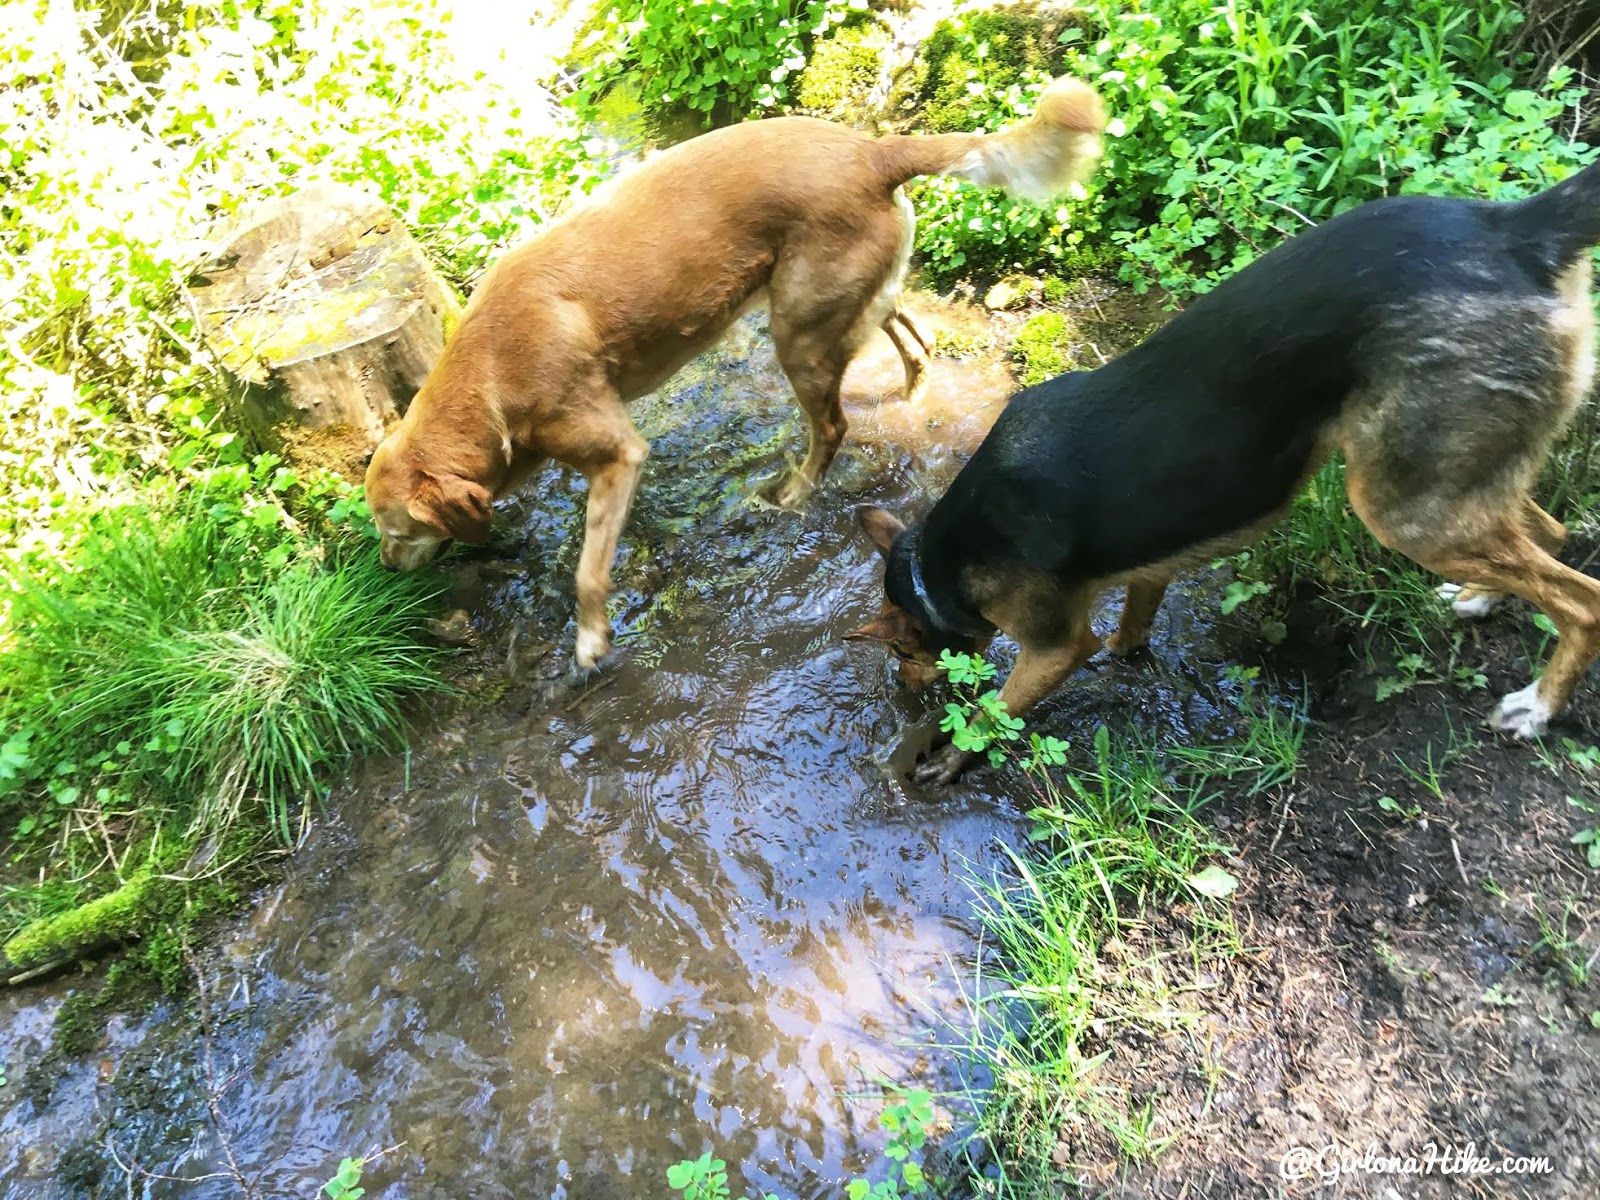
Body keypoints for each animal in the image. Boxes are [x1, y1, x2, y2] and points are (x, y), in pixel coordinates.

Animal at [857, 160, 1600, 784]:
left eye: (903, 655)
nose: (903, 691)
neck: (940, 562)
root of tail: (1516, 229)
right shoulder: (1150, 564)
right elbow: (1131, 628)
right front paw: (1128, 658)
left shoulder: (1051, 646)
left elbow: (998, 711)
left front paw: (947, 760)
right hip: (1448, 480)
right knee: (1550, 533)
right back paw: (1478, 598)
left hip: (1403, 506)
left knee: (1582, 599)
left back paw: (1537, 706)